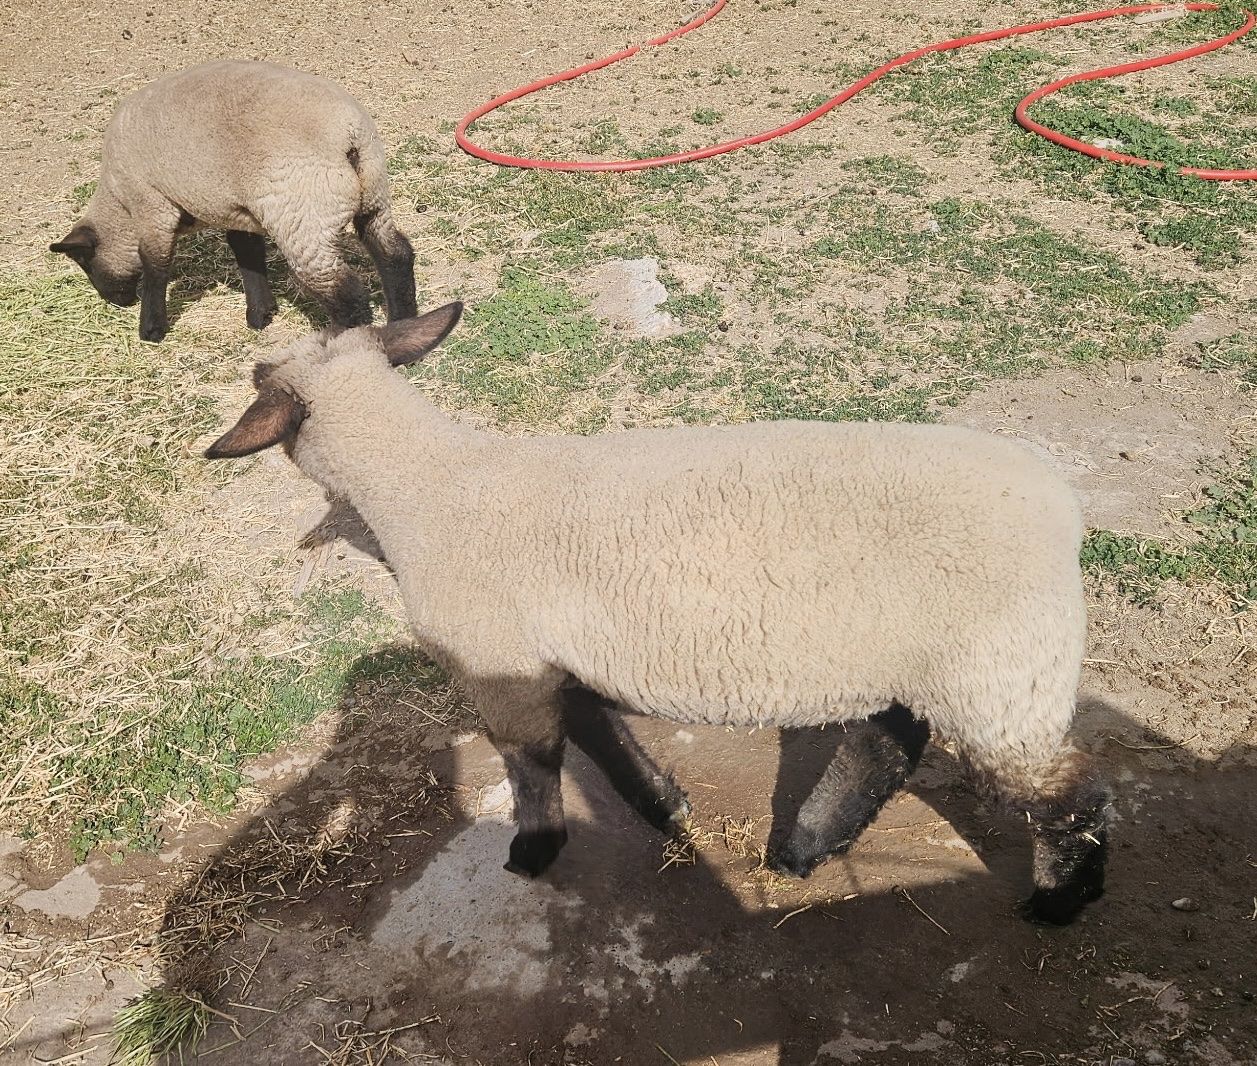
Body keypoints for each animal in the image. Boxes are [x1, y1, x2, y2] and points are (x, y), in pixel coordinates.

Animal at [49, 60, 417, 342]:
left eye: (85, 263)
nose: (117, 302)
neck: (119, 205)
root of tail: (349, 136)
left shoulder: (153, 206)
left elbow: (155, 265)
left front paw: (151, 330)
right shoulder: (236, 210)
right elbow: (247, 255)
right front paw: (260, 314)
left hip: (302, 219)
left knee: (347, 295)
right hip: (373, 198)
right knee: (395, 255)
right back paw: (405, 328)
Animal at [204, 305, 1111, 925]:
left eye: (257, 383)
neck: (434, 488)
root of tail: (1061, 507)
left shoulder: (499, 663)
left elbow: (533, 762)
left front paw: (534, 850)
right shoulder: (548, 657)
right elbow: (597, 735)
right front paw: (660, 804)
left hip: (997, 671)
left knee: (1067, 791)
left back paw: (1061, 900)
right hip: (923, 659)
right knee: (887, 744)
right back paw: (805, 849)